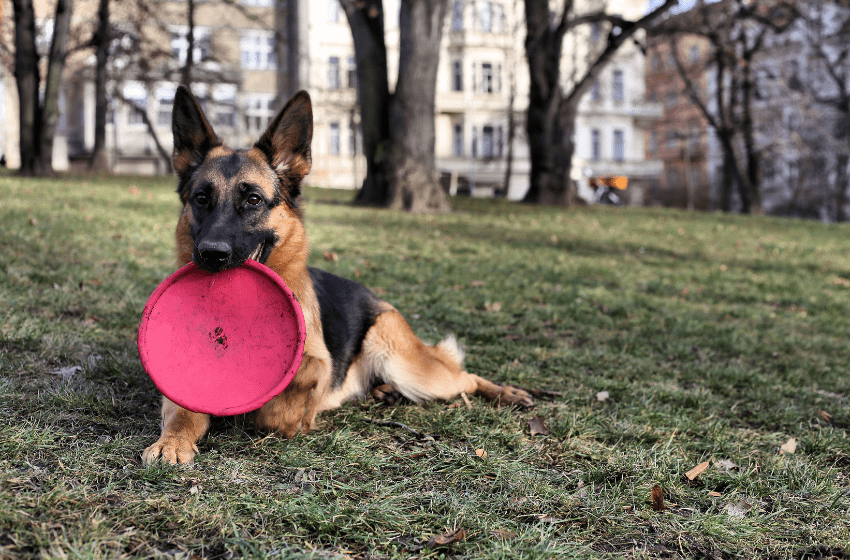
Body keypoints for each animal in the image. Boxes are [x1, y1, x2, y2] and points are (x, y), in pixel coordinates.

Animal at [142, 86, 532, 464]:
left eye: (253, 200)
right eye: (201, 198)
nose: (211, 254)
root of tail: (378, 301)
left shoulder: (314, 370)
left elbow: (284, 402)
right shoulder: (177, 392)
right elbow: (182, 413)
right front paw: (172, 442)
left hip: (408, 366)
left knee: (464, 377)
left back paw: (506, 392)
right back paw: (384, 391)